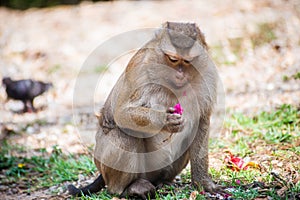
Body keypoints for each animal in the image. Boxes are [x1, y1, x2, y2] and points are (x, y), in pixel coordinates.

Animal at [68, 21, 223, 198]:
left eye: (188, 61)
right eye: (173, 59)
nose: (179, 74)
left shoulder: (208, 75)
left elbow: (201, 122)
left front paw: (203, 183)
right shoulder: (141, 69)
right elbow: (121, 114)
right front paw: (166, 120)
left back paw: (163, 182)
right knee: (125, 135)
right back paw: (127, 189)